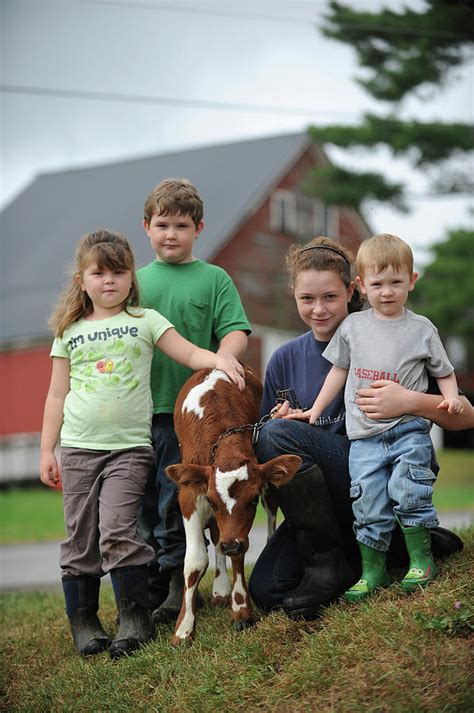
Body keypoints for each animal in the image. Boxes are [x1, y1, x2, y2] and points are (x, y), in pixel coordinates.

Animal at [167, 368, 300, 644]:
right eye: (212, 501)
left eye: (252, 500)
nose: (231, 545)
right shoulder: (191, 493)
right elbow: (195, 561)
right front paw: (184, 628)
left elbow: (238, 553)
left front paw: (241, 610)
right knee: (218, 537)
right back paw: (220, 589)